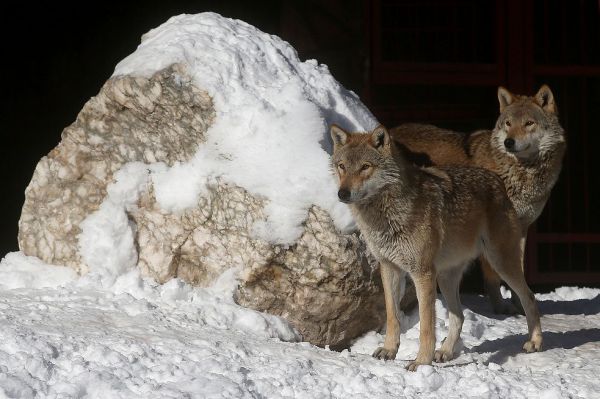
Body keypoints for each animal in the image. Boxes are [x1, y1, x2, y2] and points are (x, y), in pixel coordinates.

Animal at [330, 125, 540, 372]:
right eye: (342, 166)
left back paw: (535, 342)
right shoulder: (389, 268)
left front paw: (421, 362)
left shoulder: (422, 273)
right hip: (446, 278)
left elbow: (426, 325)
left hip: (500, 263)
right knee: (459, 316)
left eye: (365, 167)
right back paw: (446, 352)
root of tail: (497, 180)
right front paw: (390, 350)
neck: (386, 215)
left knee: (529, 296)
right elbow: (393, 316)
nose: (342, 193)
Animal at [392, 85, 564, 316]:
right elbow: (493, 275)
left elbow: (517, 270)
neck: (521, 172)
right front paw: (500, 307)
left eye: (529, 123)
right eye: (508, 124)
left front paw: (521, 306)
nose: (509, 142)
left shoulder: (519, 229)